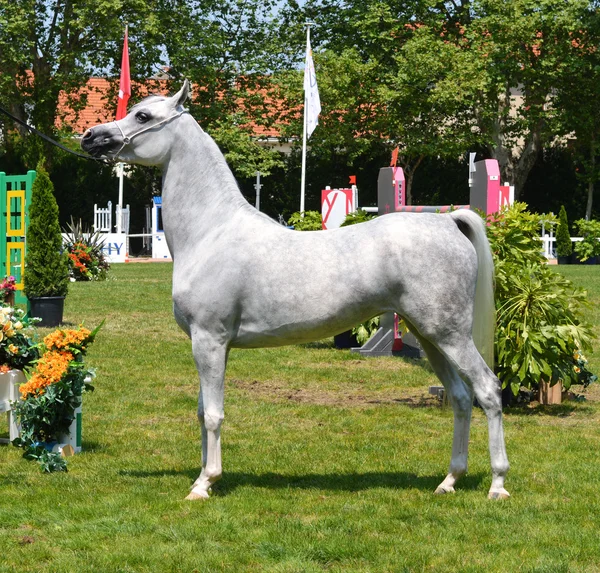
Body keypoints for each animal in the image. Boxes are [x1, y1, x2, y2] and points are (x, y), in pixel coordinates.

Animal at [81, 80, 510, 500]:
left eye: (142, 116)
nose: (89, 137)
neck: (212, 231)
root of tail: (448, 221)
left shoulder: (209, 340)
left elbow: (215, 415)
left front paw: (205, 484)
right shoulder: (211, 345)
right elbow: (203, 412)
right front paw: (203, 475)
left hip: (450, 336)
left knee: (488, 390)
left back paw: (497, 485)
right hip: (429, 336)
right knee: (461, 397)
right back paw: (449, 480)